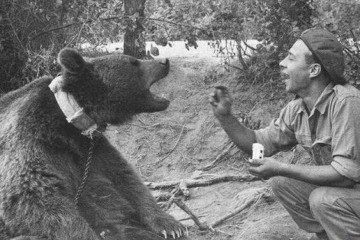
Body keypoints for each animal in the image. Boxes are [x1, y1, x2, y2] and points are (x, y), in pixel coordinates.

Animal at [0, 47, 186, 239]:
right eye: (133, 62)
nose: (164, 61)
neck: (70, 121)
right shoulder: (34, 140)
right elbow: (34, 194)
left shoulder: (93, 148)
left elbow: (125, 178)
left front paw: (170, 225)